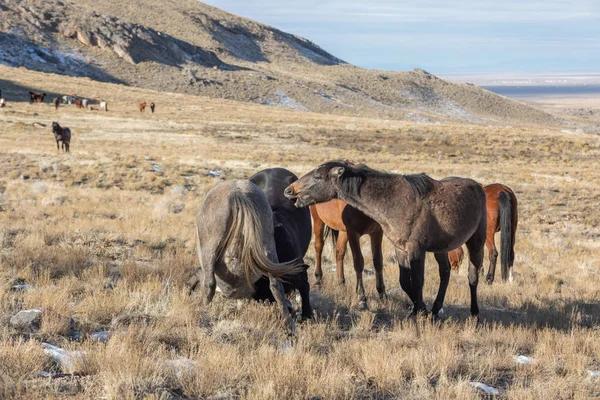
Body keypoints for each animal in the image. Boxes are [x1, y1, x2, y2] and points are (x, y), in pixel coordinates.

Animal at [188, 180, 304, 330]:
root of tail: (238, 193)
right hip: (268, 245)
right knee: (276, 285)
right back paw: (289, 324)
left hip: (210, 248)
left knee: (209, 283)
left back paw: (203, 309)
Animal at [286, 161, 488, 318]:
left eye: (318, 177)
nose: (289, 190)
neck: (394, 201)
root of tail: (478, 186)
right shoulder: (400, 248)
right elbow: (405, 281)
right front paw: (417, 309)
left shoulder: (416, 249)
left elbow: (418, 281)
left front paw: (420, 311)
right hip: (442, 248)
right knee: (445, 273)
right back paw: (436, 309)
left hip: (476, 242)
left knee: (472, 276)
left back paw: (474, 312)